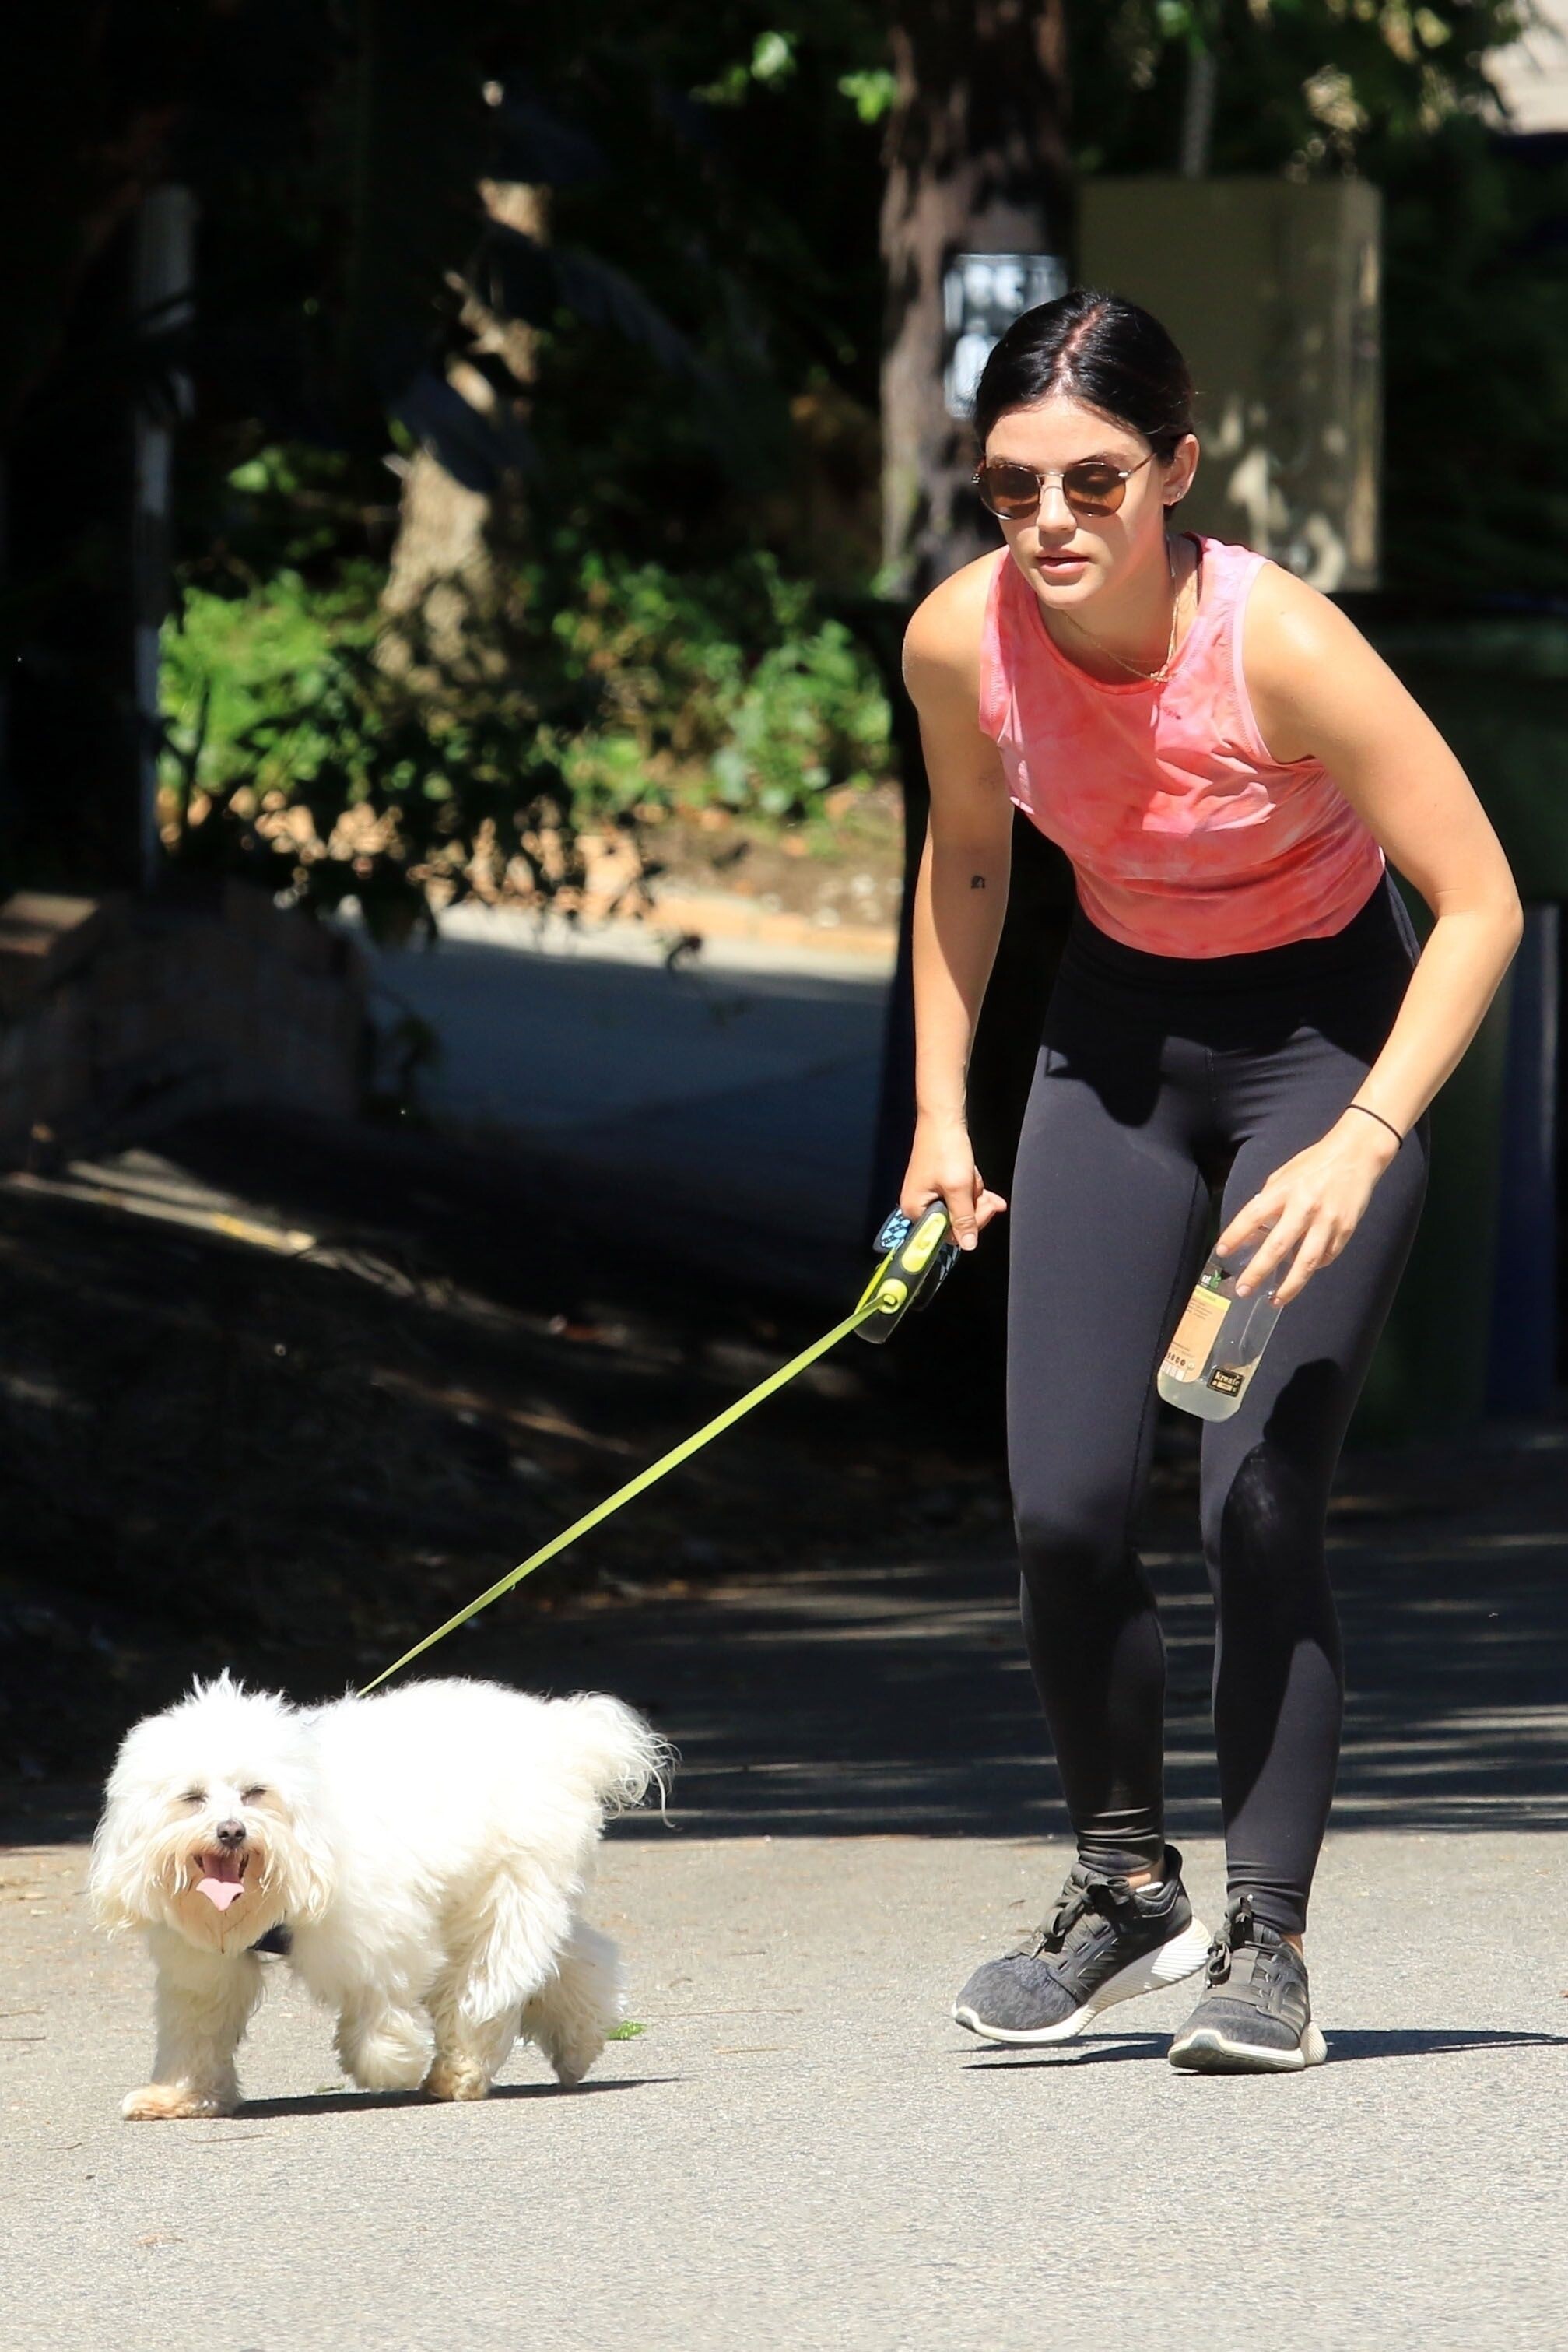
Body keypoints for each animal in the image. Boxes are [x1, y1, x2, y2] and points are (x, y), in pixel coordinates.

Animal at [89, 1672, 669, 2119]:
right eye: (192, 1798)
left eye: (256, 1793)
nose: (231, 1831)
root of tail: (567, 1736)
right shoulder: (204, 1966)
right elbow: (198, 2024)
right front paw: (182, 2096)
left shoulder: (376, 1935)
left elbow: (378, 2004)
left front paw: (389, 2061)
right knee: (576, 1958)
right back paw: (580, 2041)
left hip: (502, 1898)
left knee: (487, 1986)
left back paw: (458, 2073)